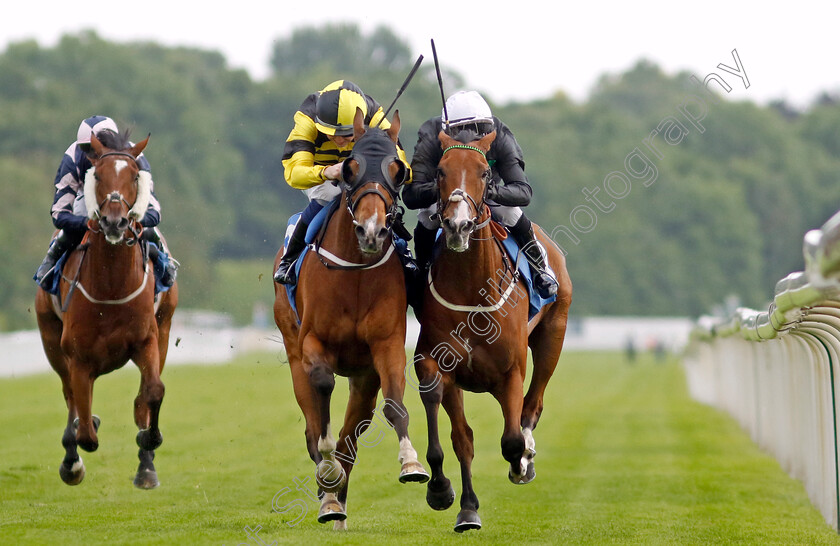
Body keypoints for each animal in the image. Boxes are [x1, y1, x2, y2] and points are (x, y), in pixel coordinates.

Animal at [34, 131, 177, 488]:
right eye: (97, 175)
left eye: (135, 176)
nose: (115, 221)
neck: (111, 287)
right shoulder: (77, 356)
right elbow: (85, 430)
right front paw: (76, 452)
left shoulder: (147, 339)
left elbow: (153, 391)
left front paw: (148, 442)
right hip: (50, 340)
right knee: (71, 398)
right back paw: (72, 458)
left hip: (165, 326)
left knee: (141, 397)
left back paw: (145, 464)